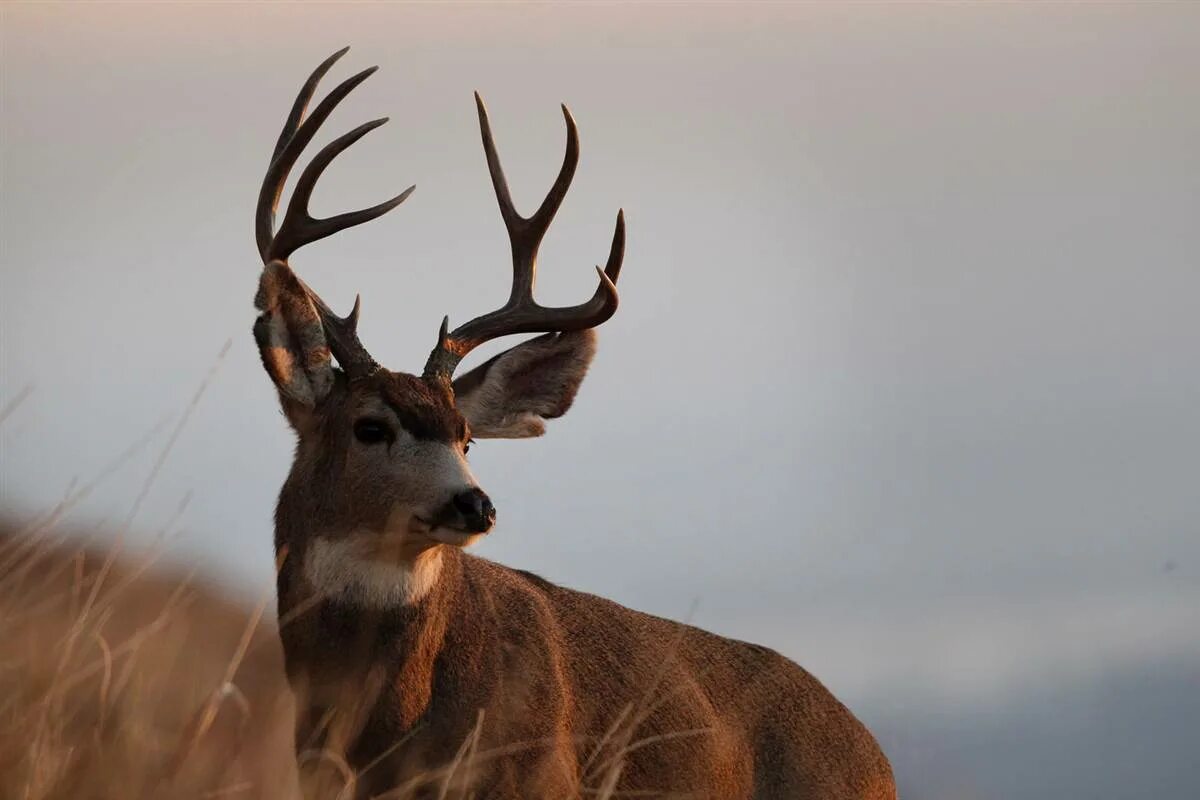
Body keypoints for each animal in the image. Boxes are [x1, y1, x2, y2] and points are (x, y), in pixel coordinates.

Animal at [250, 50, 892, 800]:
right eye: (371, 427)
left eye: (466, 436)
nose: (475, 503)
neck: (384, 732)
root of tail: (873, 753)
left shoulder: (540, 777)